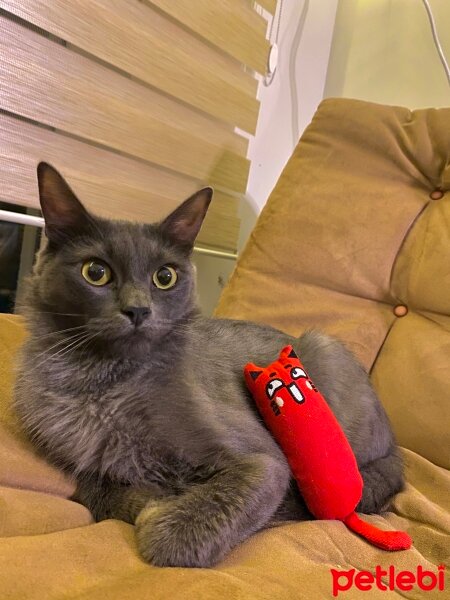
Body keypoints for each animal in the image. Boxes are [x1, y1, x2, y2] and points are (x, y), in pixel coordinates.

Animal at [14, 163, 404, 568]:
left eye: (164, 277)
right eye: (96, 272)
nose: (138, 309)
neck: (102, 384)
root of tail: (397, 447)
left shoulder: (263, 462)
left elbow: (174, 539)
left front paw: (159, 516)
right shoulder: (81, 459)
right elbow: (92, 490)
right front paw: (148, 498)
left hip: (325, 353)